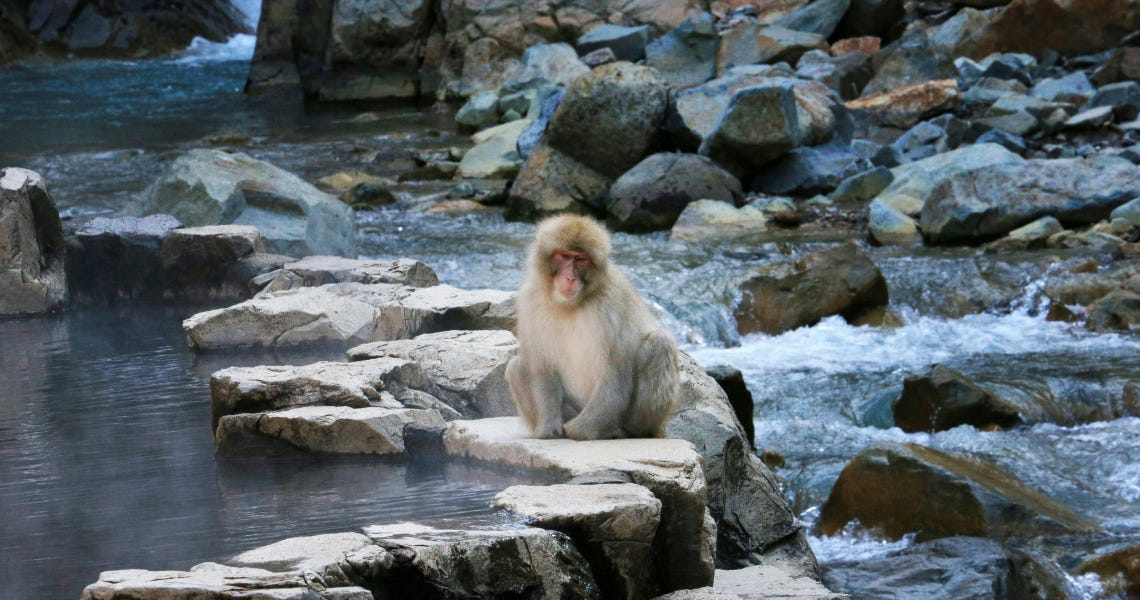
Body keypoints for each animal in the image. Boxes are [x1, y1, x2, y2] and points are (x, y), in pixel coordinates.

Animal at [506, 214, 680, 440]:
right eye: (564, 256)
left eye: (581, 260)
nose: (570, 278)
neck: (569, 305)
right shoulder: (530, 300)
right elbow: (543, 370)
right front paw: (547, 428)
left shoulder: (610, 306)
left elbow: (614, 381)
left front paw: (578, 431)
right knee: (515, 367)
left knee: (660, 343)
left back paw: (626, 431)